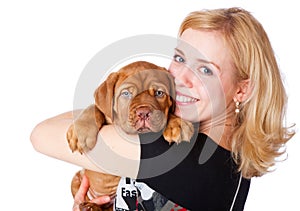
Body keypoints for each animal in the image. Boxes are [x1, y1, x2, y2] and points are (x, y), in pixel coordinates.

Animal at [66, 60, 195, 210]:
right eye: (126, 94)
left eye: (159, 93)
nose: (143, 112)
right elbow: (94, 108)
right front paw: (80, 131)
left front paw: (177, 124)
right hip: (76, 179)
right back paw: (89, 206)